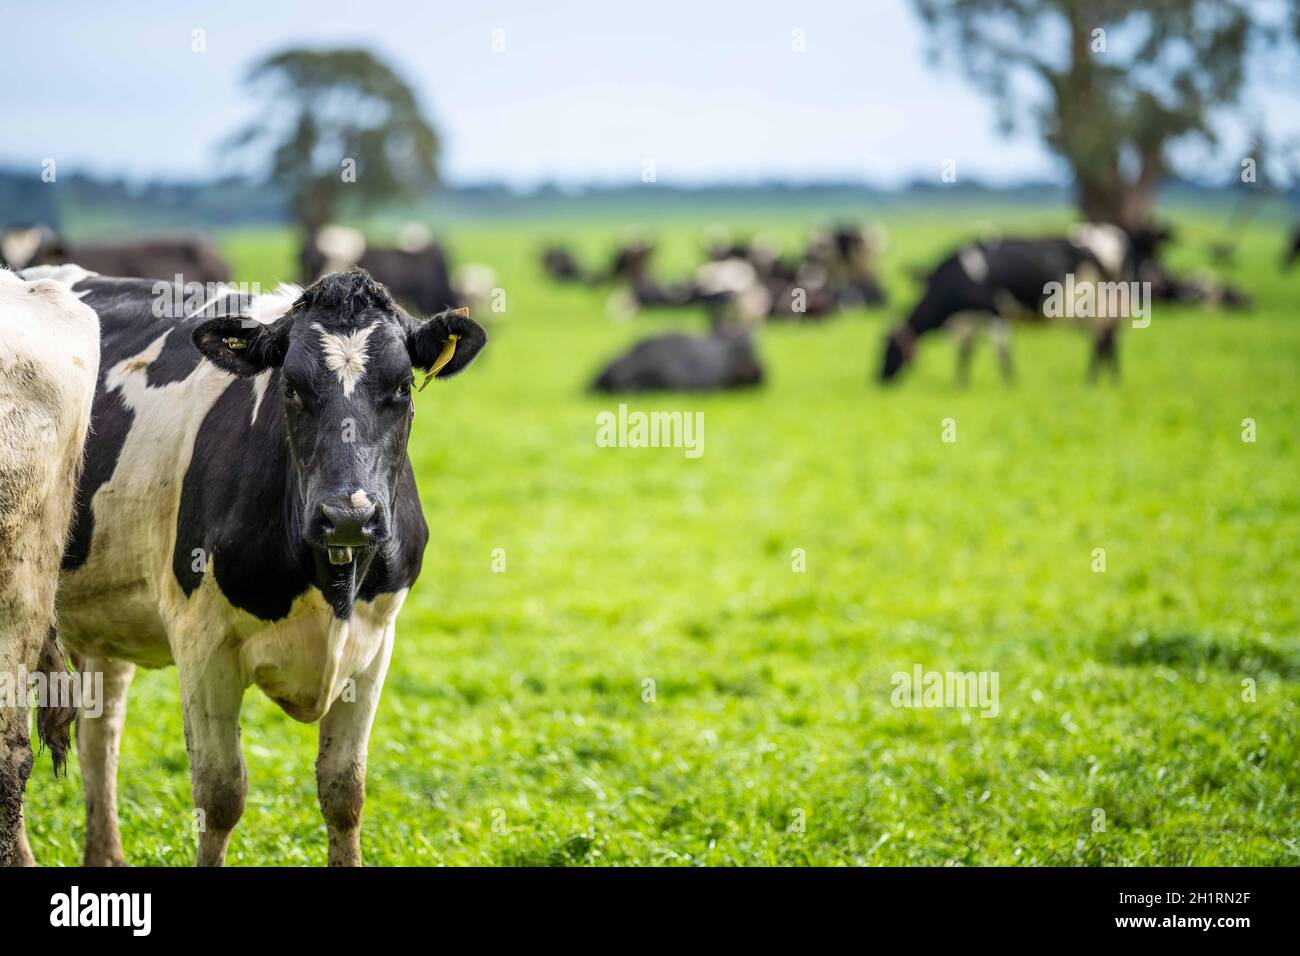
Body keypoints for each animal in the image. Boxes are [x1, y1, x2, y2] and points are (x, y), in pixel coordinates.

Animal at [17, 266, 486, 867]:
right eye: (291, 387)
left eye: (402, 388)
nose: (348, 516)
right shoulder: (203, 641)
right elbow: (220, 795)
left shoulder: (375, 643)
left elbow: (345, 793)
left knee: (100, 733)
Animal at [879, 223, 1137, 385]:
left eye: (887, 348)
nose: (878, 379)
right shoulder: (969, 320)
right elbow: (966, 351)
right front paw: (960, 382)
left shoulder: (994, 312)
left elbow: (1002, 349)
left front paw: (1009, 382)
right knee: (1108, 340)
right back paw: (1109, 380)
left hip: (1097, 305)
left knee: (1102, 340)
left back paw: (1092, 380)